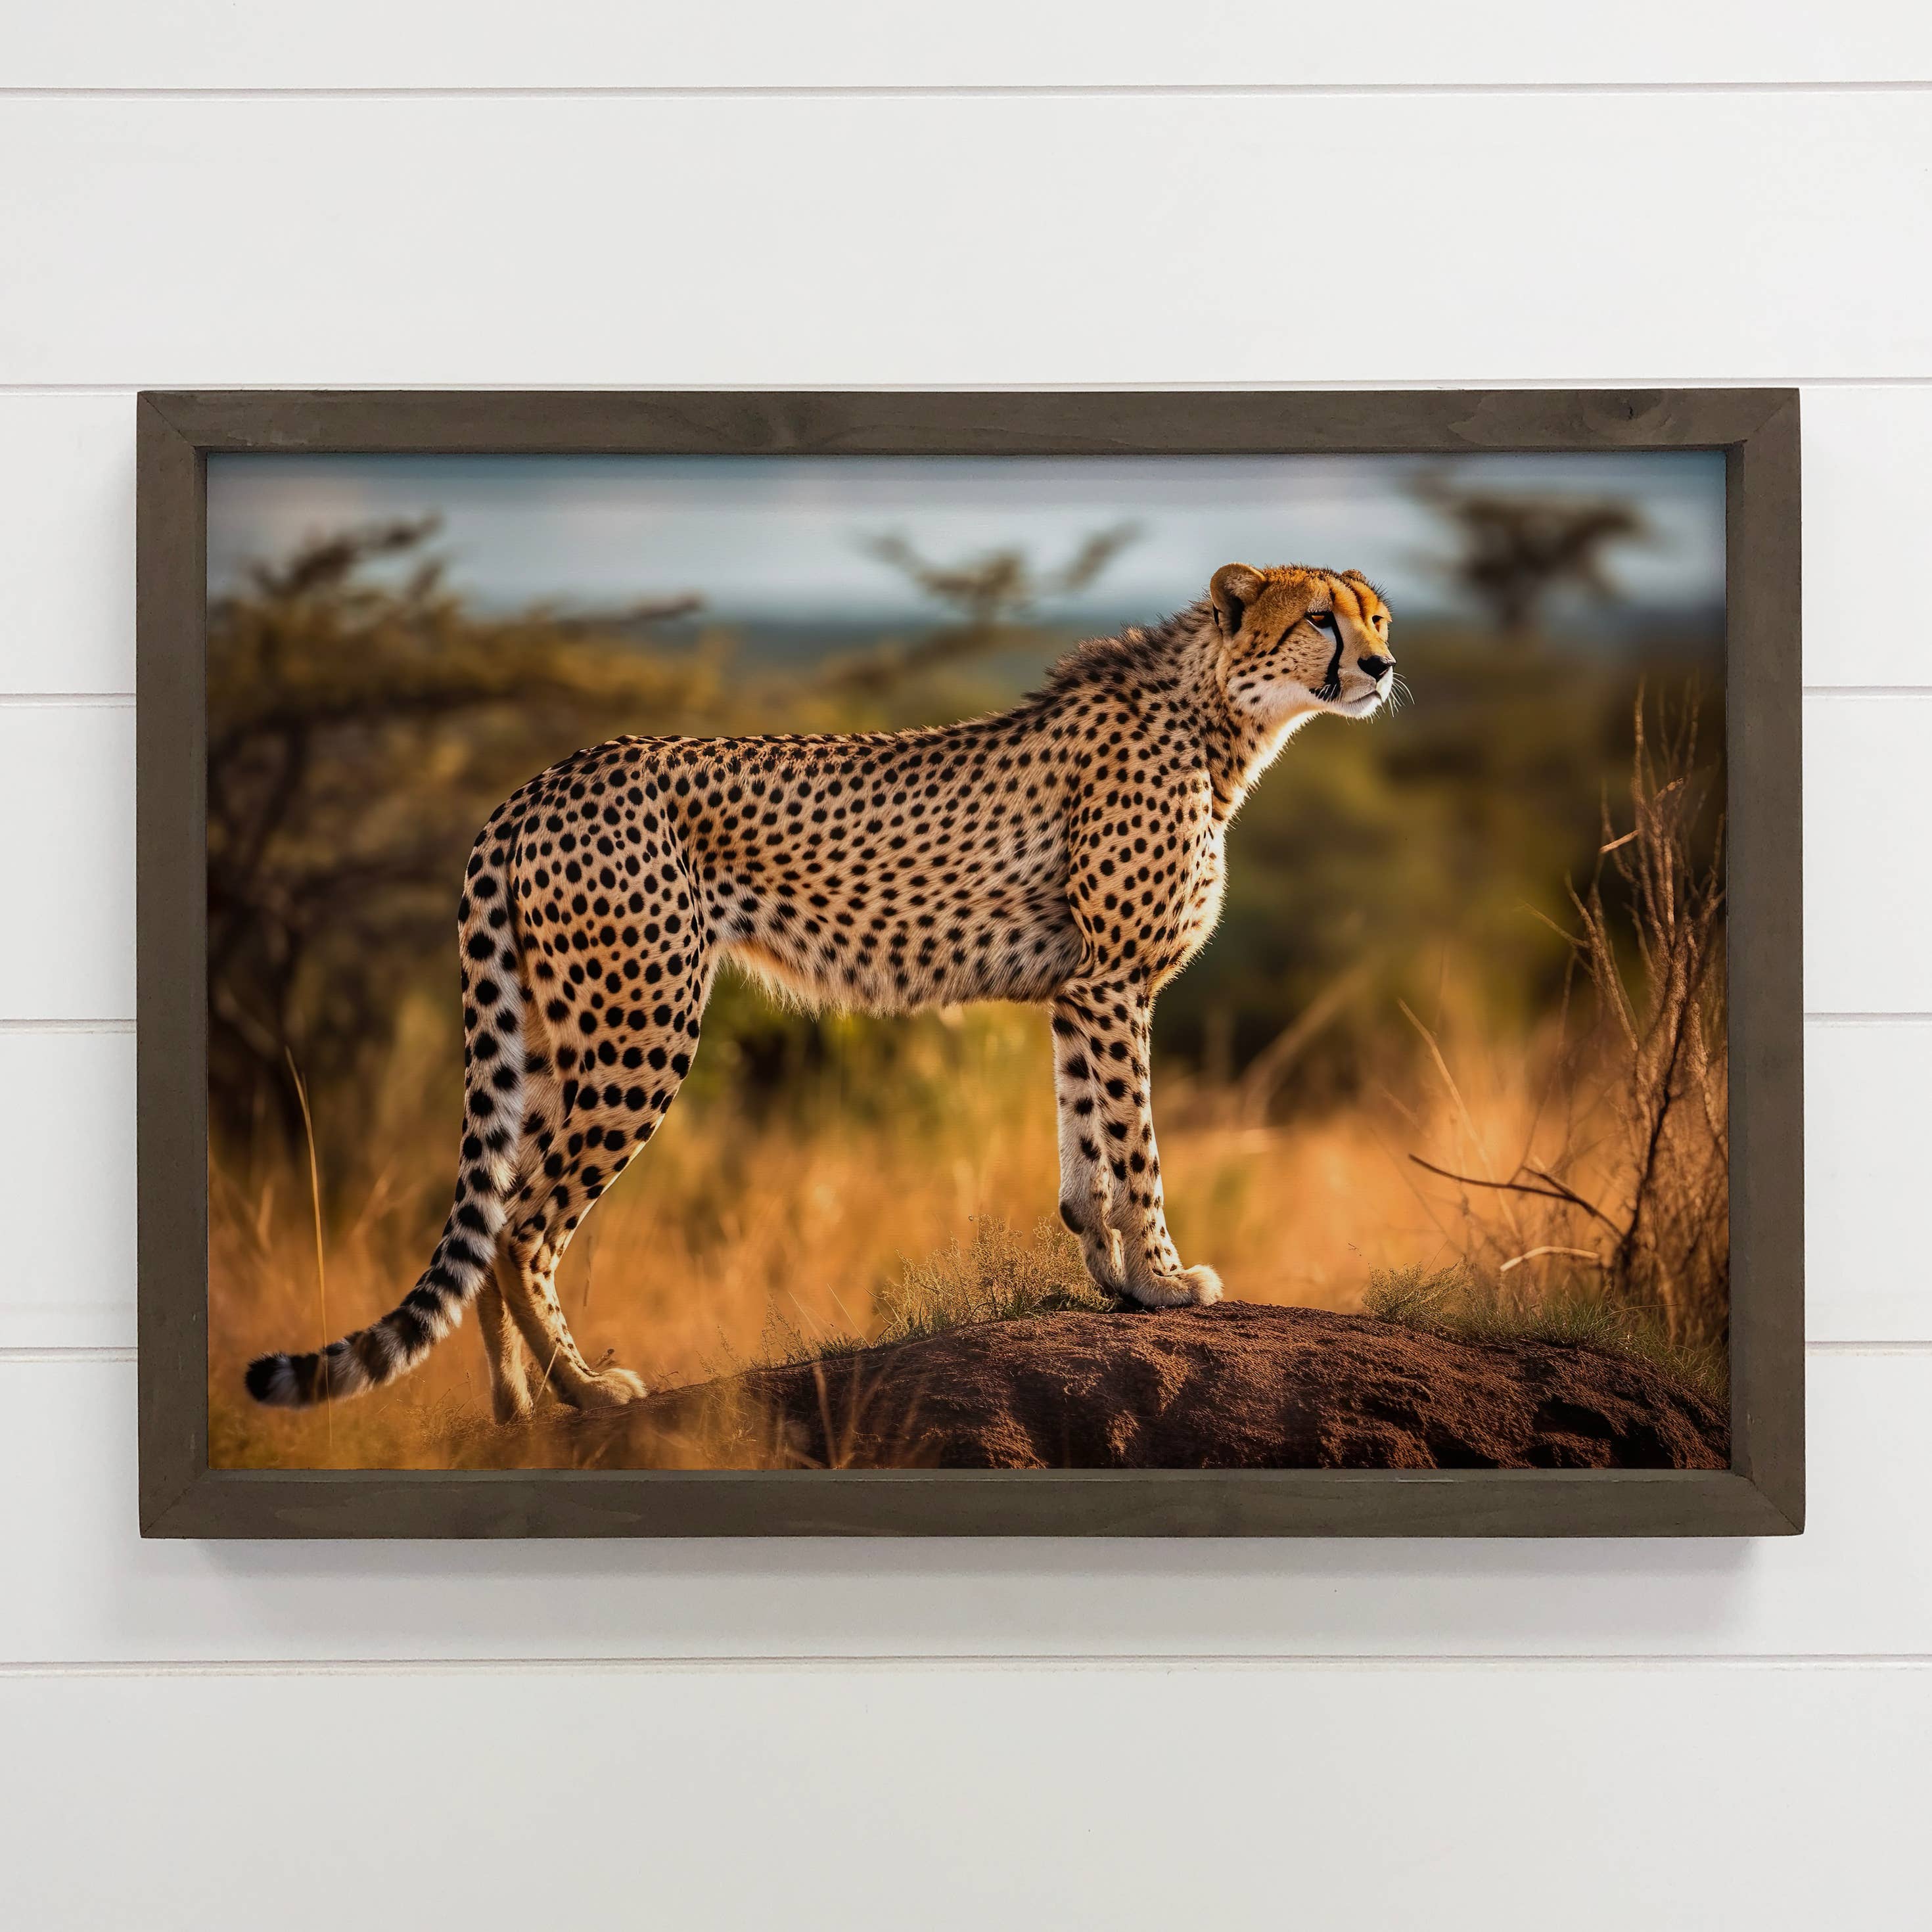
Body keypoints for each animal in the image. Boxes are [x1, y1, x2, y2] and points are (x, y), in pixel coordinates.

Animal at [246, 562, 1397, 1420]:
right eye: (1320, 620)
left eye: (1376, 615)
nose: (1385, 664)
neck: (1218, 716)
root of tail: (543, 780)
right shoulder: (1118, 983)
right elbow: (1139, 1149)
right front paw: (1165, 1282)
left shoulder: (1081, 989)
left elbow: (1087, 1159)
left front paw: (1116, 1283)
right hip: (641, 1026)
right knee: (527, 1224)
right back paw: (587, 1389)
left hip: (547, 1035)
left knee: (490, 1220)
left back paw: (517, 1407)